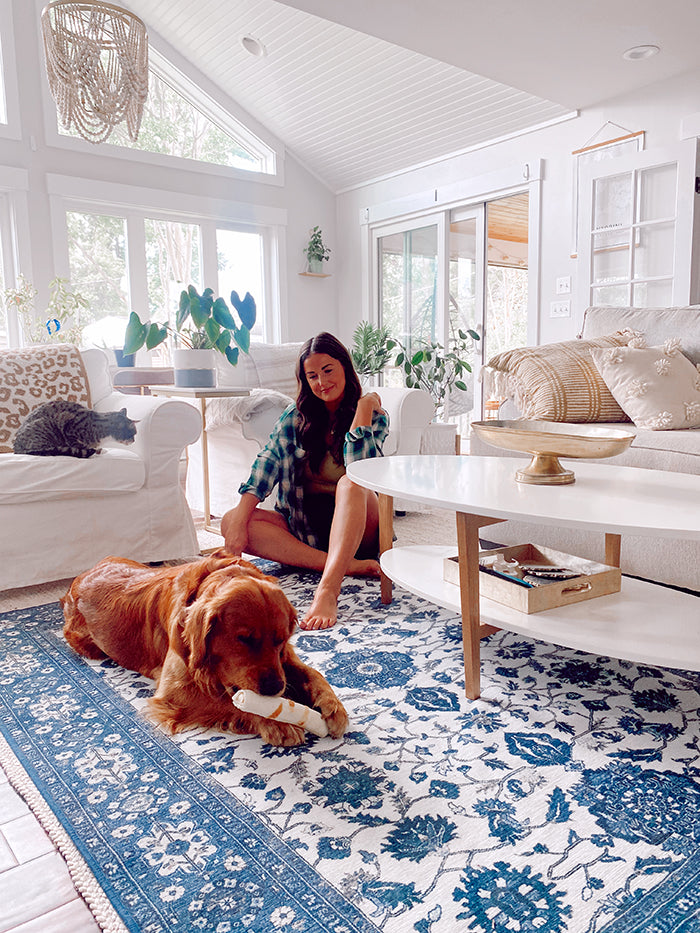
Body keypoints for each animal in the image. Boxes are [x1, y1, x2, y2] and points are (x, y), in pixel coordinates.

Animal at [61, 548, 348, 748]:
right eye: (243, 639)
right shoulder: (174, 690)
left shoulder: (284, 659)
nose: (274, 688)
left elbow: (313, 673)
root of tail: (78, 580)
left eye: (281, 638)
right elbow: (232, 703)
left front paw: (332, 704)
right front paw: (276, 722)